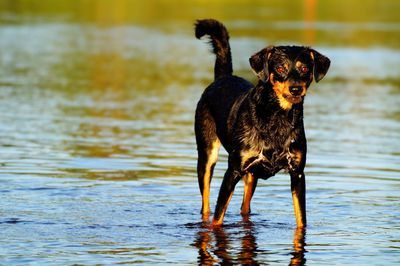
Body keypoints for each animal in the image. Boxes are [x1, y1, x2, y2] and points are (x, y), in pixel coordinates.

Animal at [195, 18, 330, 228]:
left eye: (305, 68)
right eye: (280, 68)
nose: (296, 89)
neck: (277, 119)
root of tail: (223, 77)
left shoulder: (298, 174)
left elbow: (301, 219)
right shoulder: (233, 170)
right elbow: (218, 217)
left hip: (252, 175)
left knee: (245, 207)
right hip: (207, 157)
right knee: (206, 206)